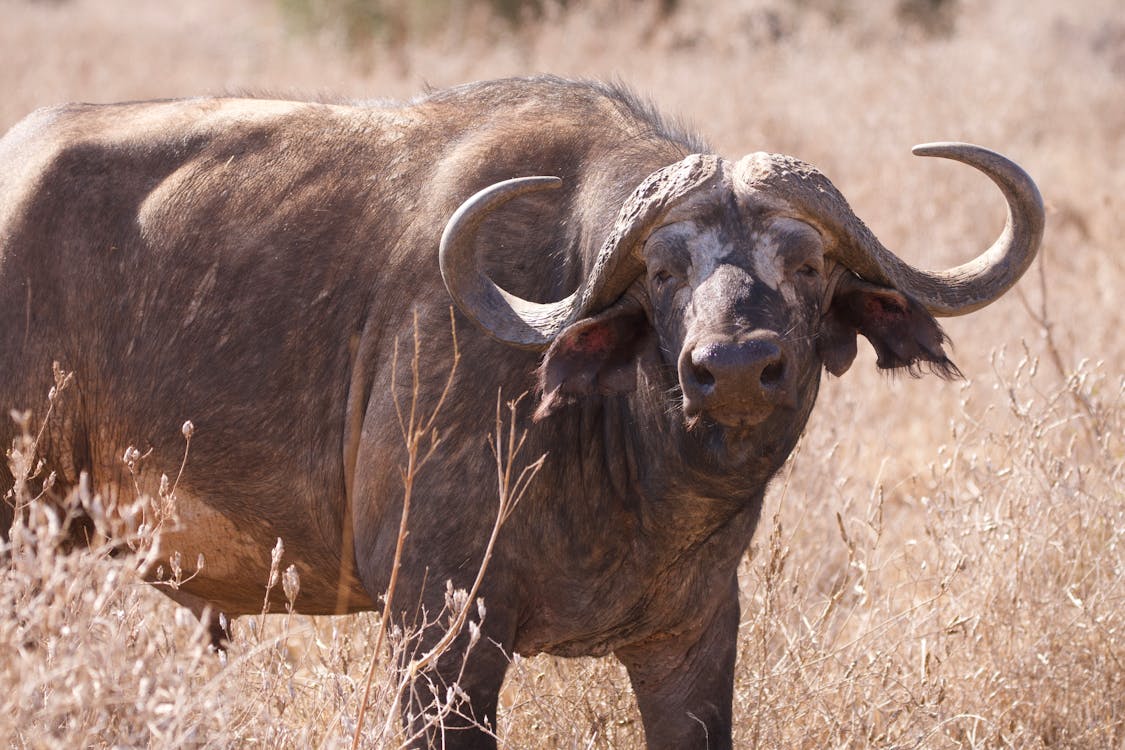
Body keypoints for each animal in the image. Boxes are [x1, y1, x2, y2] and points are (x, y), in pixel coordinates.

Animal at [0, 76, 1043, 748]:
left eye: (810, 263)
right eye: (664, 272)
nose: (738, 369)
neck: (626, 470)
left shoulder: (695, 636)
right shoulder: (437, 627)